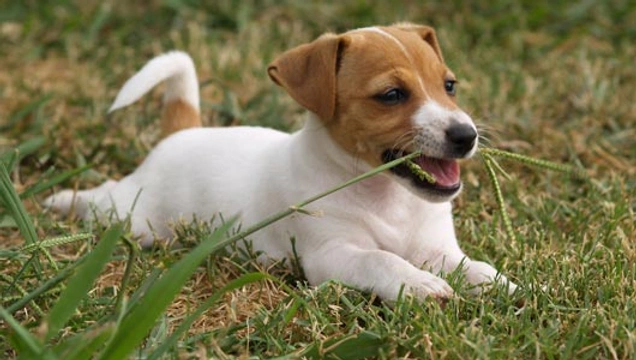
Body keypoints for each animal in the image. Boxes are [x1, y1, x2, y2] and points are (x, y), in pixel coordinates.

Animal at [48, 23, 516, 300]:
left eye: (449, 86)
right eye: (391, 95)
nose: (466, 136)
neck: (387, 197)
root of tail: (182, 133)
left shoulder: (435, 248)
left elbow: (472, 266)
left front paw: (502, 284)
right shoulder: (331, 255)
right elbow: (380, 259)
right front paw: (419, 284)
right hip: (135, 219)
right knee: (106, 199)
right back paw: (62, 200)